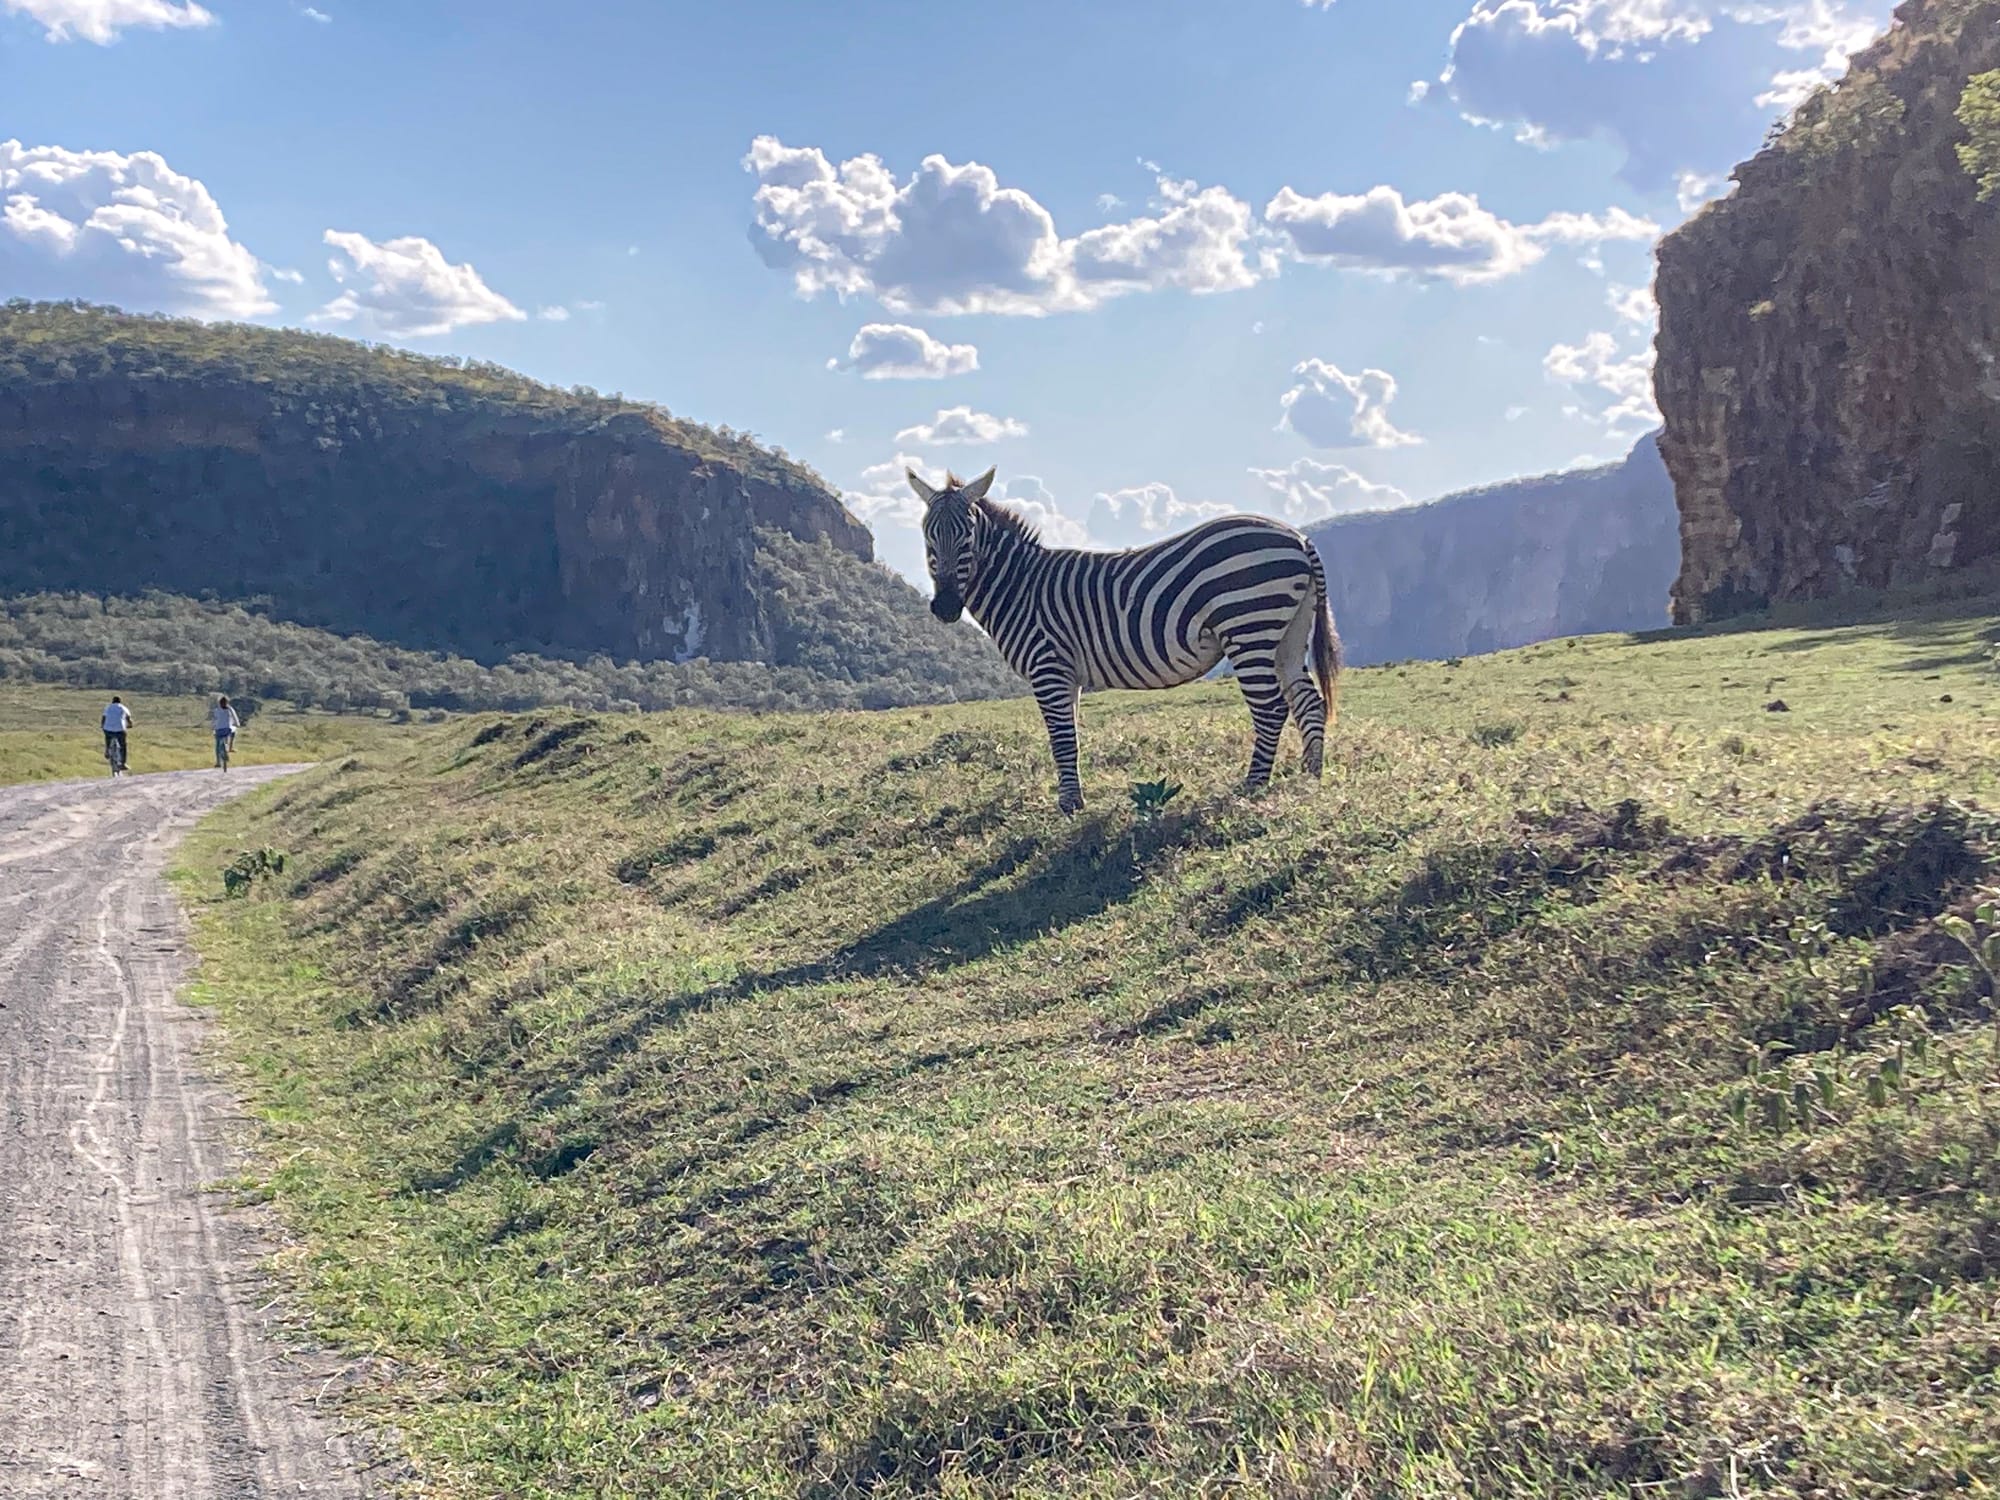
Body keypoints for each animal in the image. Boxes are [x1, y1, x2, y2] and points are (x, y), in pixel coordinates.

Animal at [909, 465, 1342, 814]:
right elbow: (1070, 735)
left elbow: (1061, 738)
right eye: (927, 537)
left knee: (1270, 708)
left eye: (968, 538)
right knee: (1308, 702)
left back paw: (1253, 784)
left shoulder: (1048, 667)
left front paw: (1069, 805)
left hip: (1249, 625)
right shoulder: (1066, 675)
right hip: (1288, 634)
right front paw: (1074, 797)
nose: (945, 607)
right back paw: (1310, 776)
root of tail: (1298, 538)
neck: (1020, 587)